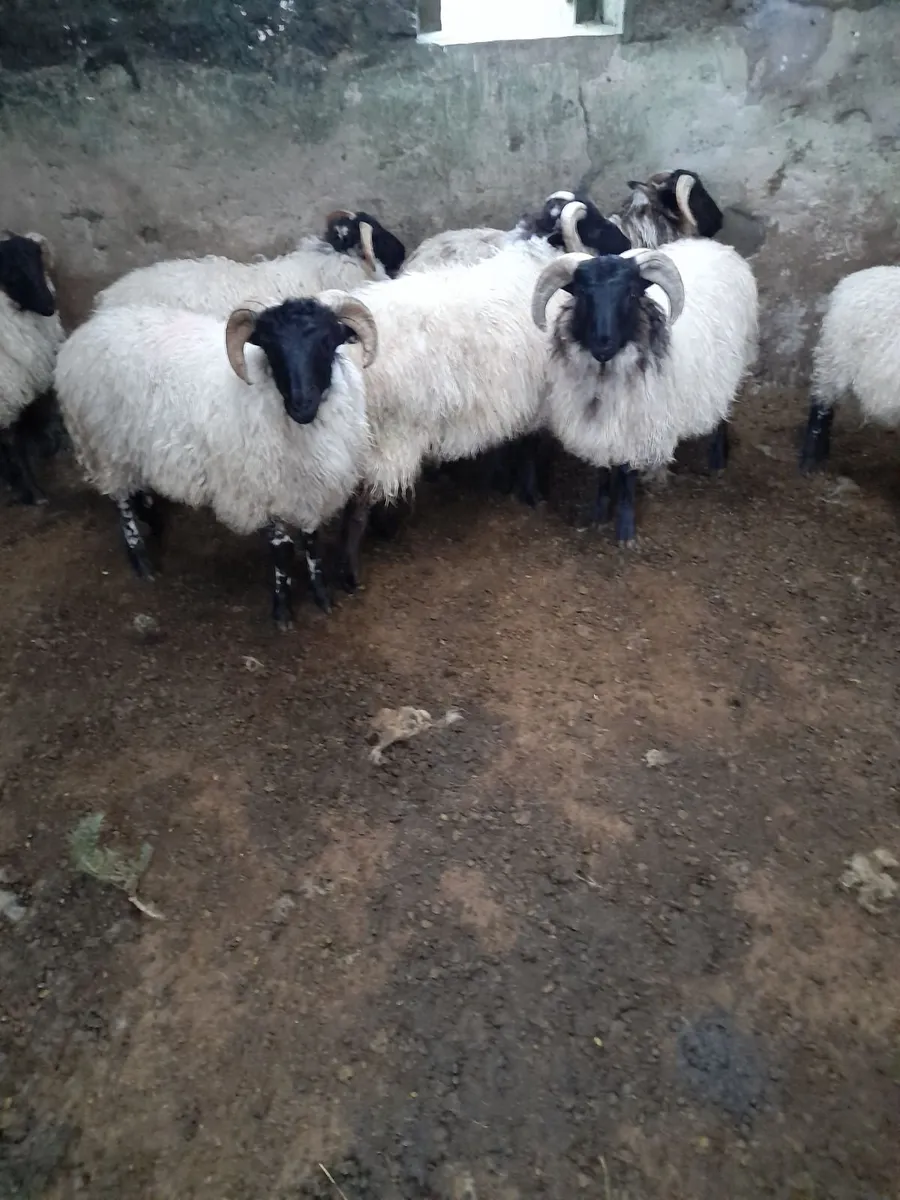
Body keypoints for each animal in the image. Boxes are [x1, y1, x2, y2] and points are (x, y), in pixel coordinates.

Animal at [54, 291, 378, 628]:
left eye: (328, 341)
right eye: (271, 346)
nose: (301, 405)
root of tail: (82, 336)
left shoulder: (309, 489)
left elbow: (312, 544)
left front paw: (322, 596)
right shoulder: (267, 487)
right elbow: (282, 553)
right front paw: (283, 611)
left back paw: (154, 521)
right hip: (106, 445)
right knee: (122, 502)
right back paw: (141, 559)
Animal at [531, 238, 758, 545]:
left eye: (630, 293)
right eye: (582, 293)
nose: (603, 344)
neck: (605, 376)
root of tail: (715, 246)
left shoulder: (637, 425)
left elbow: (627, 477)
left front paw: (625, 533)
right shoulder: (601, 429)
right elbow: (603, 473)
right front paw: (598, 516)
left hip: (728, 372)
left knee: (722, 415)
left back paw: (717, 462)